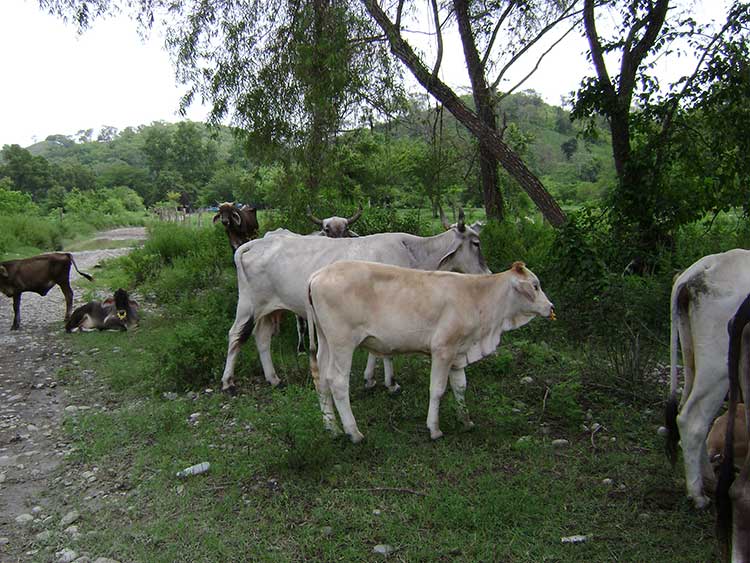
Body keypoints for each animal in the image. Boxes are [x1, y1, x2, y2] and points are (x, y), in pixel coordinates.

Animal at [222, 210, 494, 392]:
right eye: (476, 243)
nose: (488, 273)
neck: (414, 253)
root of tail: (257, 243)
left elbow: (378, 350)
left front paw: (371, 379)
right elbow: (385, 351)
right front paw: (389, 383)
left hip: (269, 309)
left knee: (262, 338)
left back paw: (273, 378)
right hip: (247, 306)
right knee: (235, 335)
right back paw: (228, 382)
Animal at [306, 262, 560, 446]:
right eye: (535, 285)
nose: (551, 306)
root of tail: (319, 274)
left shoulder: (458, 354)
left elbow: (460, 387)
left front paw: (466, 421)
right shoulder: (443, 349)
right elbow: (437, 389)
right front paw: (434, 429)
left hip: (325, 341)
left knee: (322, 380)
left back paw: (332, 428)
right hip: (342, 343)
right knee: (337, 382)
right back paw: (353, 432)